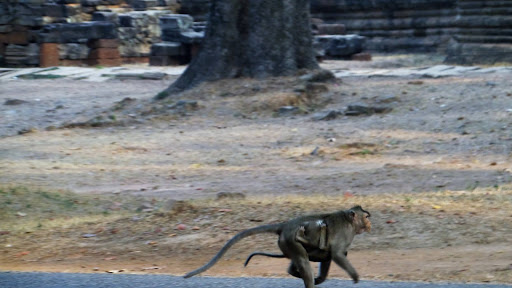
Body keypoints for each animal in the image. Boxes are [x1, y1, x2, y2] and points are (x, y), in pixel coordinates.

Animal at [184, 205, 372, 288]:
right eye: (366, 217)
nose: (370, 224)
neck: (350, 221)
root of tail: (285, 225)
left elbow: (328, 256)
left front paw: (321, 279)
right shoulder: (345, 234)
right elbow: (337, 254)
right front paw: (356, 278)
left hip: (287, 243)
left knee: (306, 257)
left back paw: (298, 272)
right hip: (289, 240)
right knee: (303, 259)